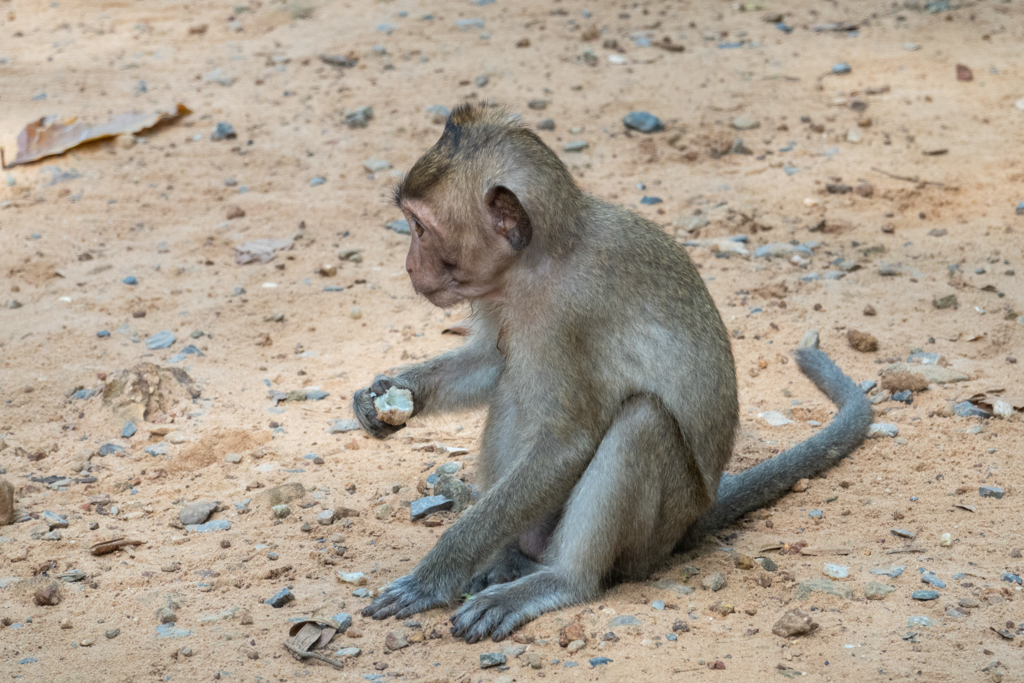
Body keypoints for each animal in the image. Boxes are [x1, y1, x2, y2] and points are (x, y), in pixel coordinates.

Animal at [354, 101, 872, 643]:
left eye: (420, 227)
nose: (409, 266)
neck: (542, 258)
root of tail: (698, 515)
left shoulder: (568, 313)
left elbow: (567, 444)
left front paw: (434, 575)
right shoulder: (503, 297)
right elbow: (492, 363)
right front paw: (388, 395)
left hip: (656, 533)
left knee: (641, 421)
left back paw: (558, 581)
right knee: (514, 385)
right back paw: (513, 557)